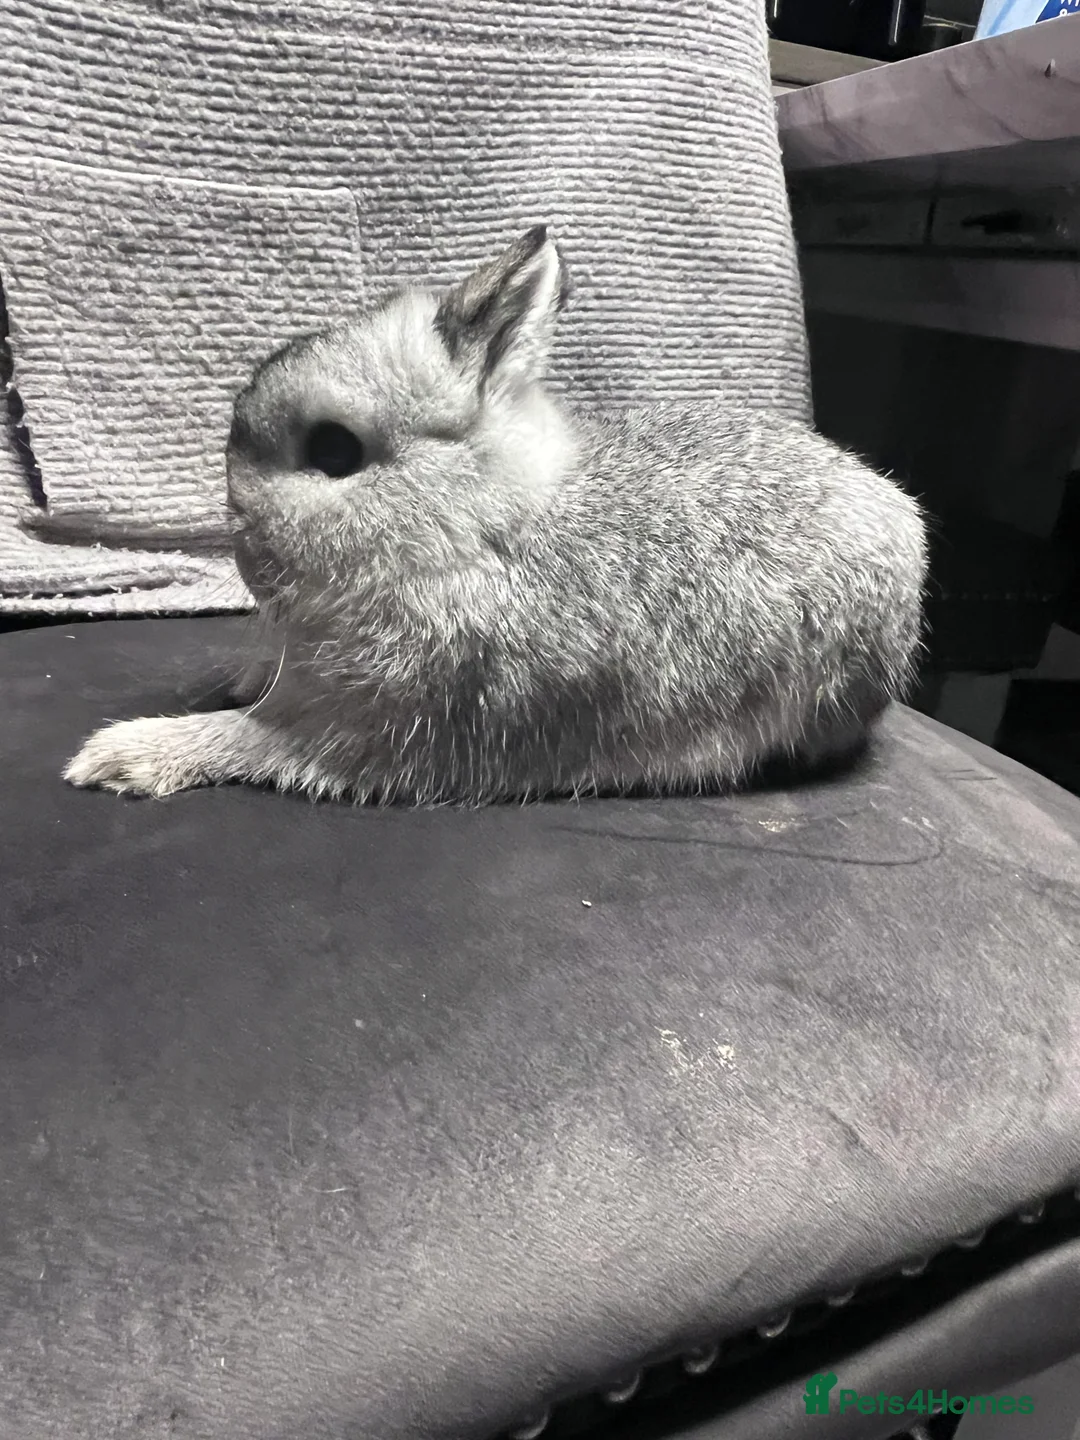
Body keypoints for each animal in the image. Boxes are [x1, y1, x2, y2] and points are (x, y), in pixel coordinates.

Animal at [64, 225, 927, 805]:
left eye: (335, 451)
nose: (241, 542)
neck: (472, 530)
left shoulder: (373, 721)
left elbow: (255, 741)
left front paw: (117, 757)